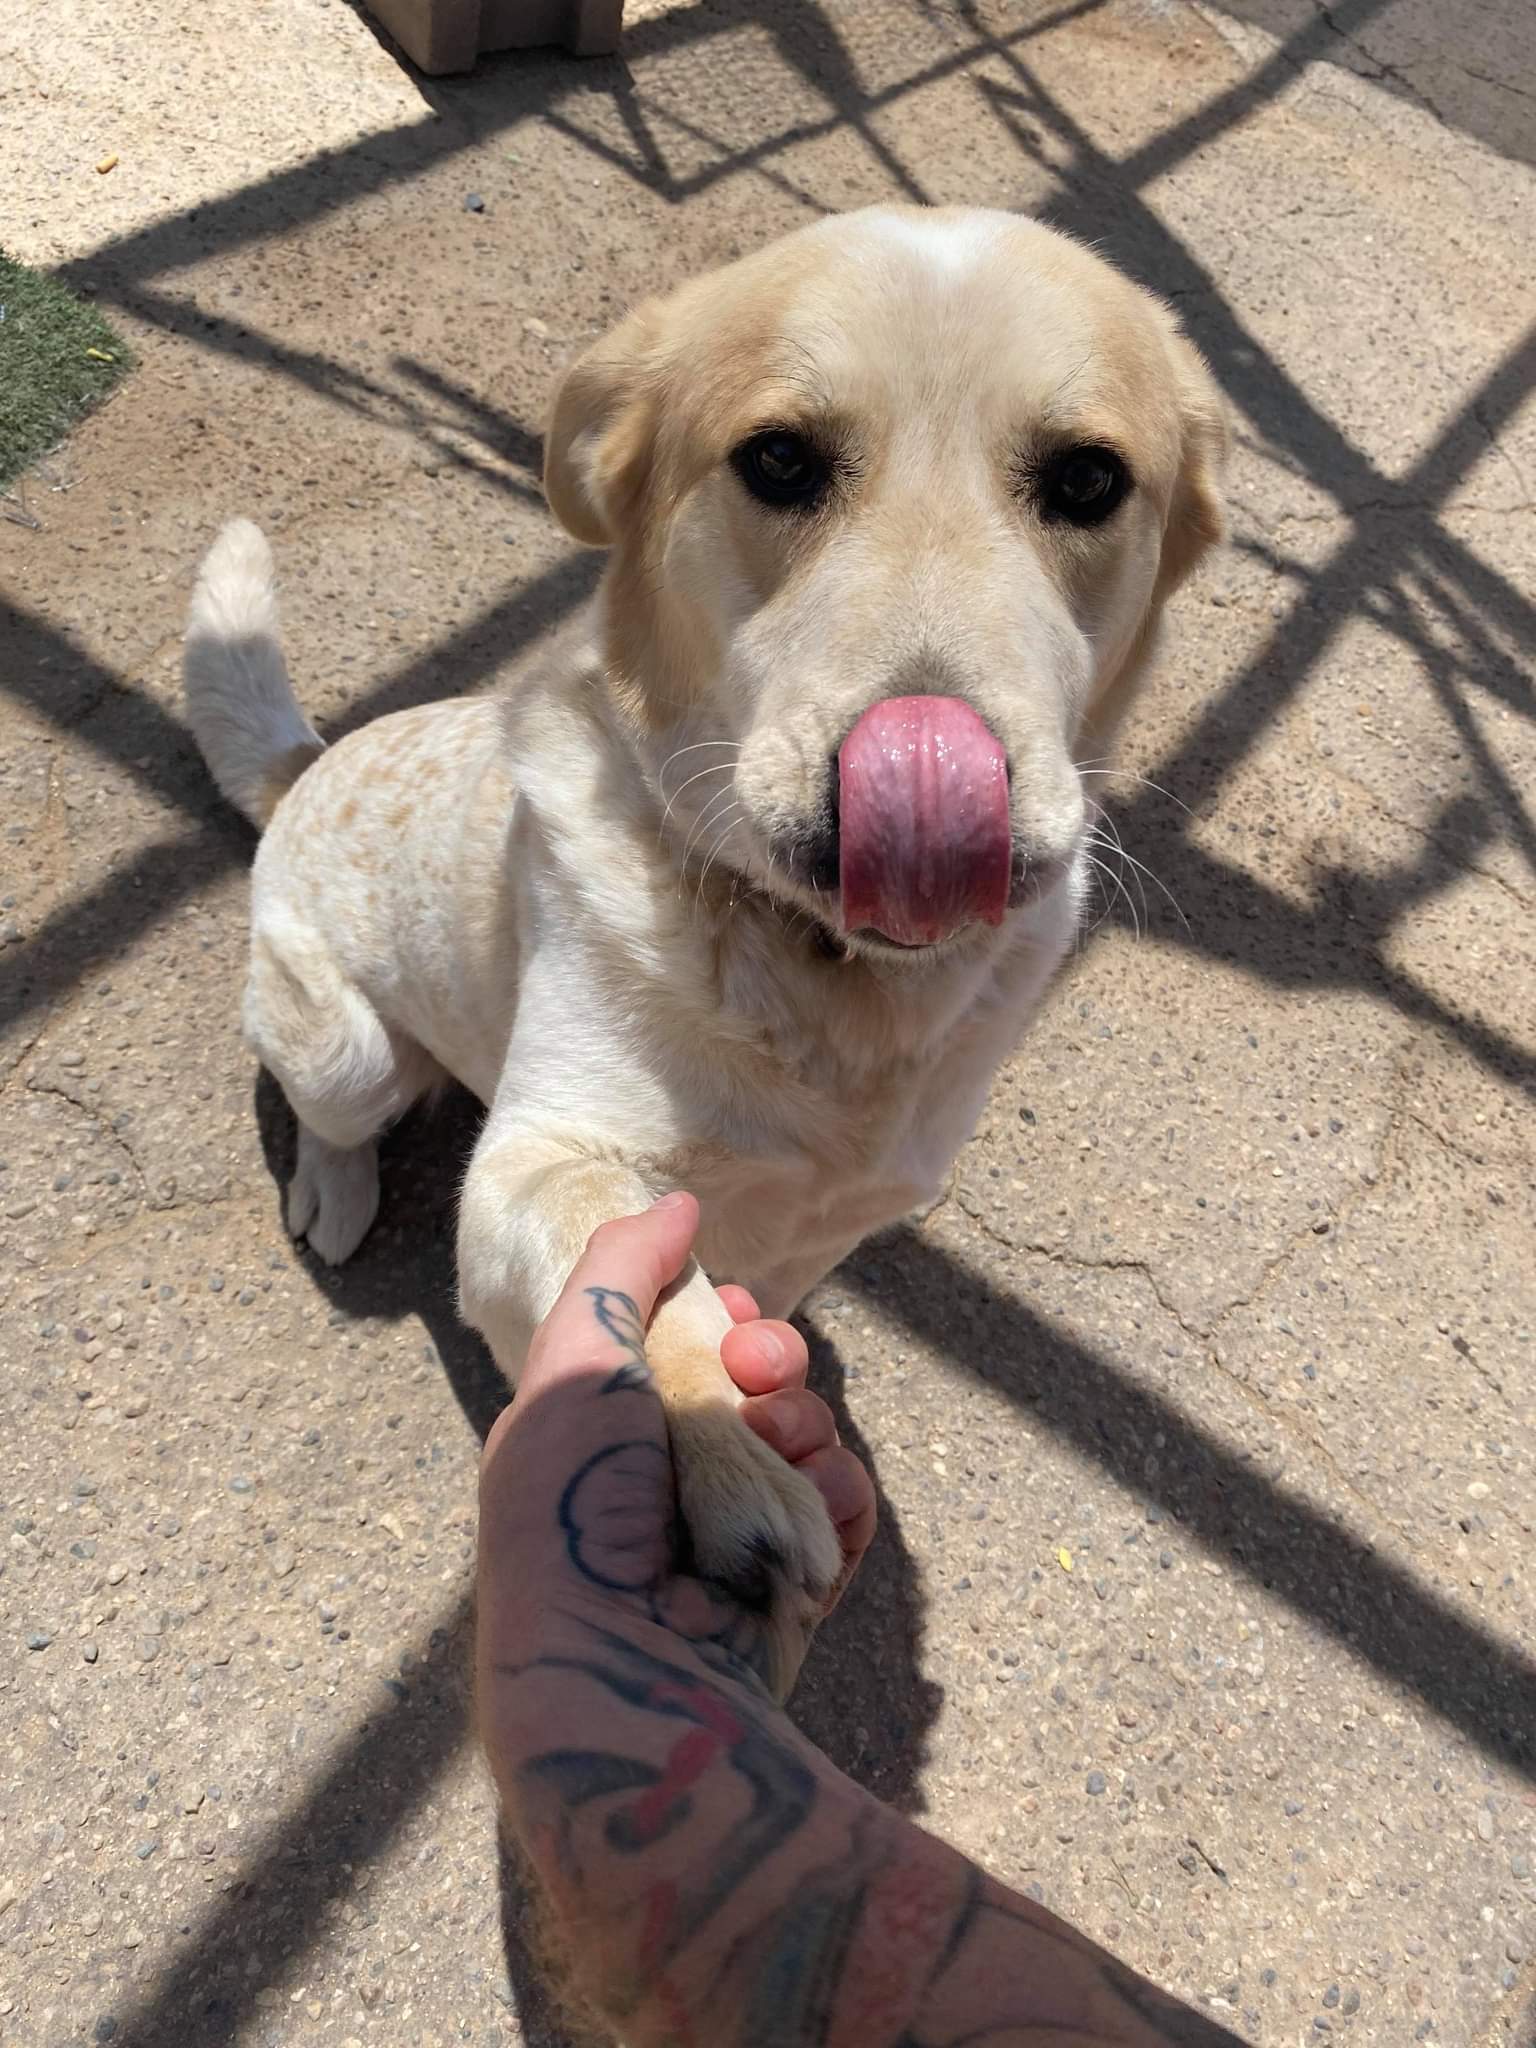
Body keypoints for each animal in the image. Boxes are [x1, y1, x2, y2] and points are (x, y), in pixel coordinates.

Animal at [186, 203, 1236, 1695]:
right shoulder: (537, 1166)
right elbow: (641, 1292)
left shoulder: (825, 1229)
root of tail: (310, 766)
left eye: (1089, 480)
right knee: (329, 1107)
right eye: (780, 460)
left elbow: (746, 1305)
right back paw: (332, 1192)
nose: (920, 782)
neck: (825, 977)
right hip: (342, 1047)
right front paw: (731, 1463)